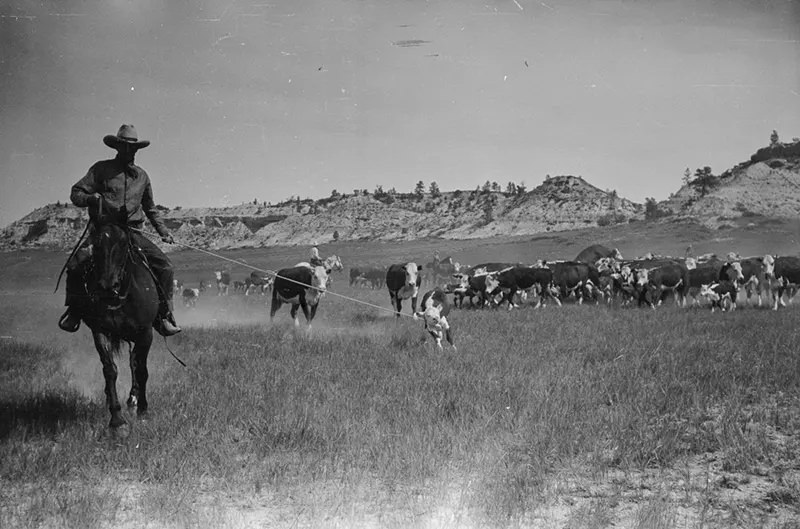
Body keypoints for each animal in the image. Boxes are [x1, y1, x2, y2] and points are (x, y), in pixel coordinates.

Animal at [83, 222, 161, 428]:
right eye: (95, 244)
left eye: (125, 243)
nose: (107, 287)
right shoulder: (100, 331)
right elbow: (110, 370)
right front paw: (117, 419)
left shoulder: (145, 333)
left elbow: (141, 370)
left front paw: (142, 409)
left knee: (134, 362)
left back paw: (133, 399)